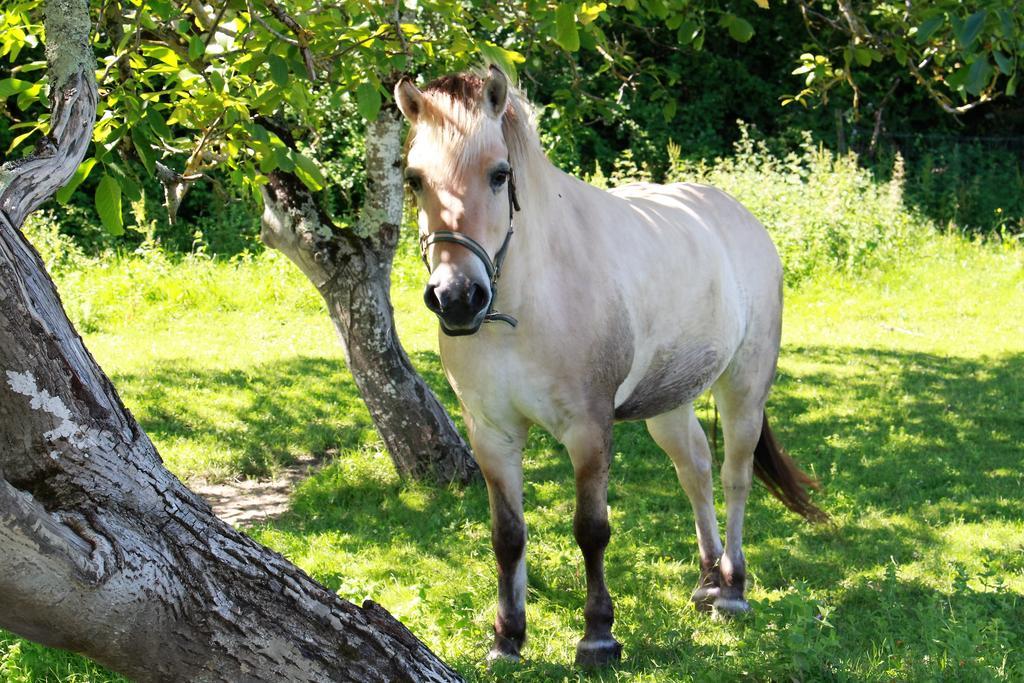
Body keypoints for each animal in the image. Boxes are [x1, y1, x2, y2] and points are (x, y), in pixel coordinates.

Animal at [391, 66, 823, 663]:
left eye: (500, 175)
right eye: (414, 179)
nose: (457, 297)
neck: (525, 305)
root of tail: (741, 219)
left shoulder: (589, 430)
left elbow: (591, 529)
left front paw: (598, 634)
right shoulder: (492, 434)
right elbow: (507, 535)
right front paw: (507, 638)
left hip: (744, 390)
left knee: (735, 476)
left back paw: (733, 589)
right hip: (669, 405)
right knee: (696, 469)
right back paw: (708, 581)